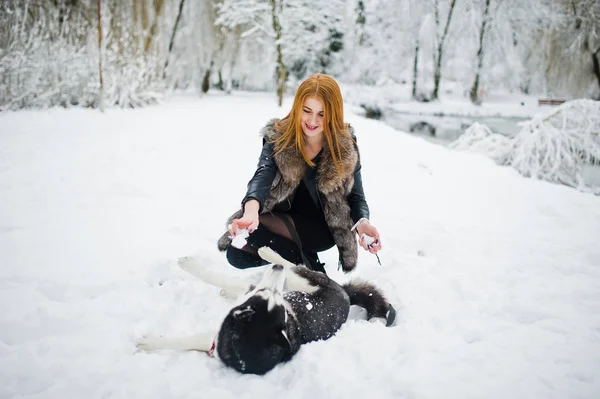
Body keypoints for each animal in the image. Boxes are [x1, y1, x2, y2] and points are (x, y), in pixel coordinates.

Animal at [138, 248, 396, 376]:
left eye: (267, 295)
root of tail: (345, 294)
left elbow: (213, 277)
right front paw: (151, 343)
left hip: (301, 277)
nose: (276, 269)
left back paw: (267, 253)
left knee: (290, 266)